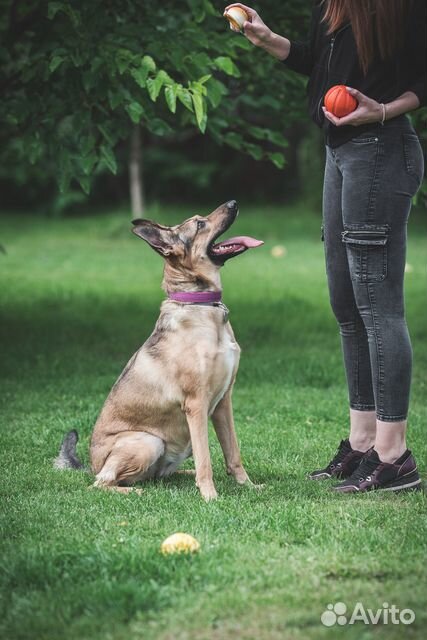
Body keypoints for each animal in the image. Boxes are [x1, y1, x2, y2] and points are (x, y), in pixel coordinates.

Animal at [56, 200, 264, 500]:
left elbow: (232, 453)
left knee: (158, 475)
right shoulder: (196, 405)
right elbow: (205, 459)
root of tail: (91, 466)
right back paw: (136, 492)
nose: (234, 203)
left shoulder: (223, 402)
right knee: (102, 483)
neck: (200, 305)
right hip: (148, 441)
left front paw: (247, 485)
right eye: (199, 223)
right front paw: (210, 496)